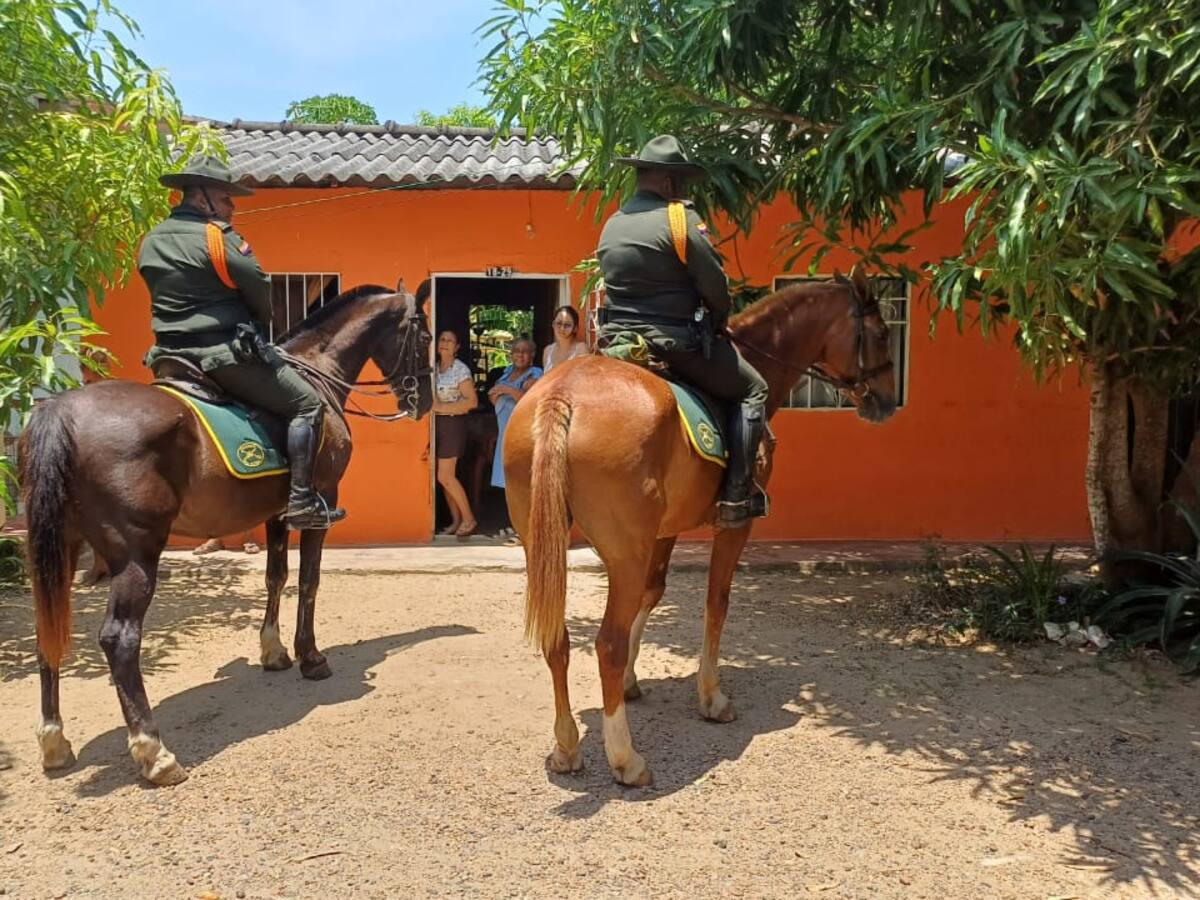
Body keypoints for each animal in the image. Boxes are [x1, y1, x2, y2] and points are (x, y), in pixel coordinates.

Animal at [20, 283, 432, 786]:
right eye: (425, 337)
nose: (424, 401)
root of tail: (60, 409)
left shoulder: (279, 513)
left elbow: (276, 577)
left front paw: (274, 652)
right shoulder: (321, 503)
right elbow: (309, 581)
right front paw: (311, 657)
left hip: (59, 549)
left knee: (48, 628)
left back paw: (54, 742)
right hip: (136, 554)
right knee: (120, 639)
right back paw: (154, 752)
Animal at [503, 267, 898, 786]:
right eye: (882, 333)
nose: (887, 402)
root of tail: (561, 394)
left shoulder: (664, 531)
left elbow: (653, 595)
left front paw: (631, 682)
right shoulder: (734, 527)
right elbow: (716, 603)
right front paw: (711, 697)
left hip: (542, 547)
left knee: (559, 639)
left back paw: (567, 747)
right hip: (623, 554)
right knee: (606, 643)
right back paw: (625, 758)